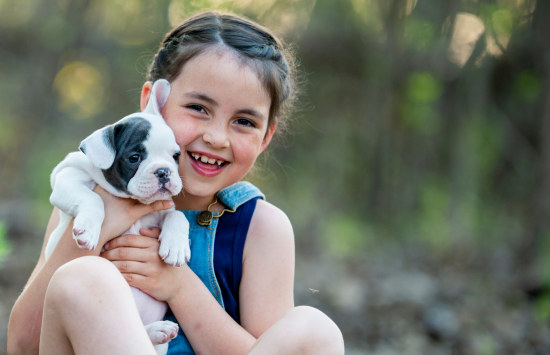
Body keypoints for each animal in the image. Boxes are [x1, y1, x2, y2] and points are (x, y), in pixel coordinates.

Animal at [44, 80, 190, 355]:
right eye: (134, 158)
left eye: (176, 156)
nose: (164, 171)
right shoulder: (66, 178)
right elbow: (94, 199)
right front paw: (88, 230)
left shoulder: (164, 208)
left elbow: (178, 215)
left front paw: (176, 247)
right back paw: (158, 329)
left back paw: (159, 330)